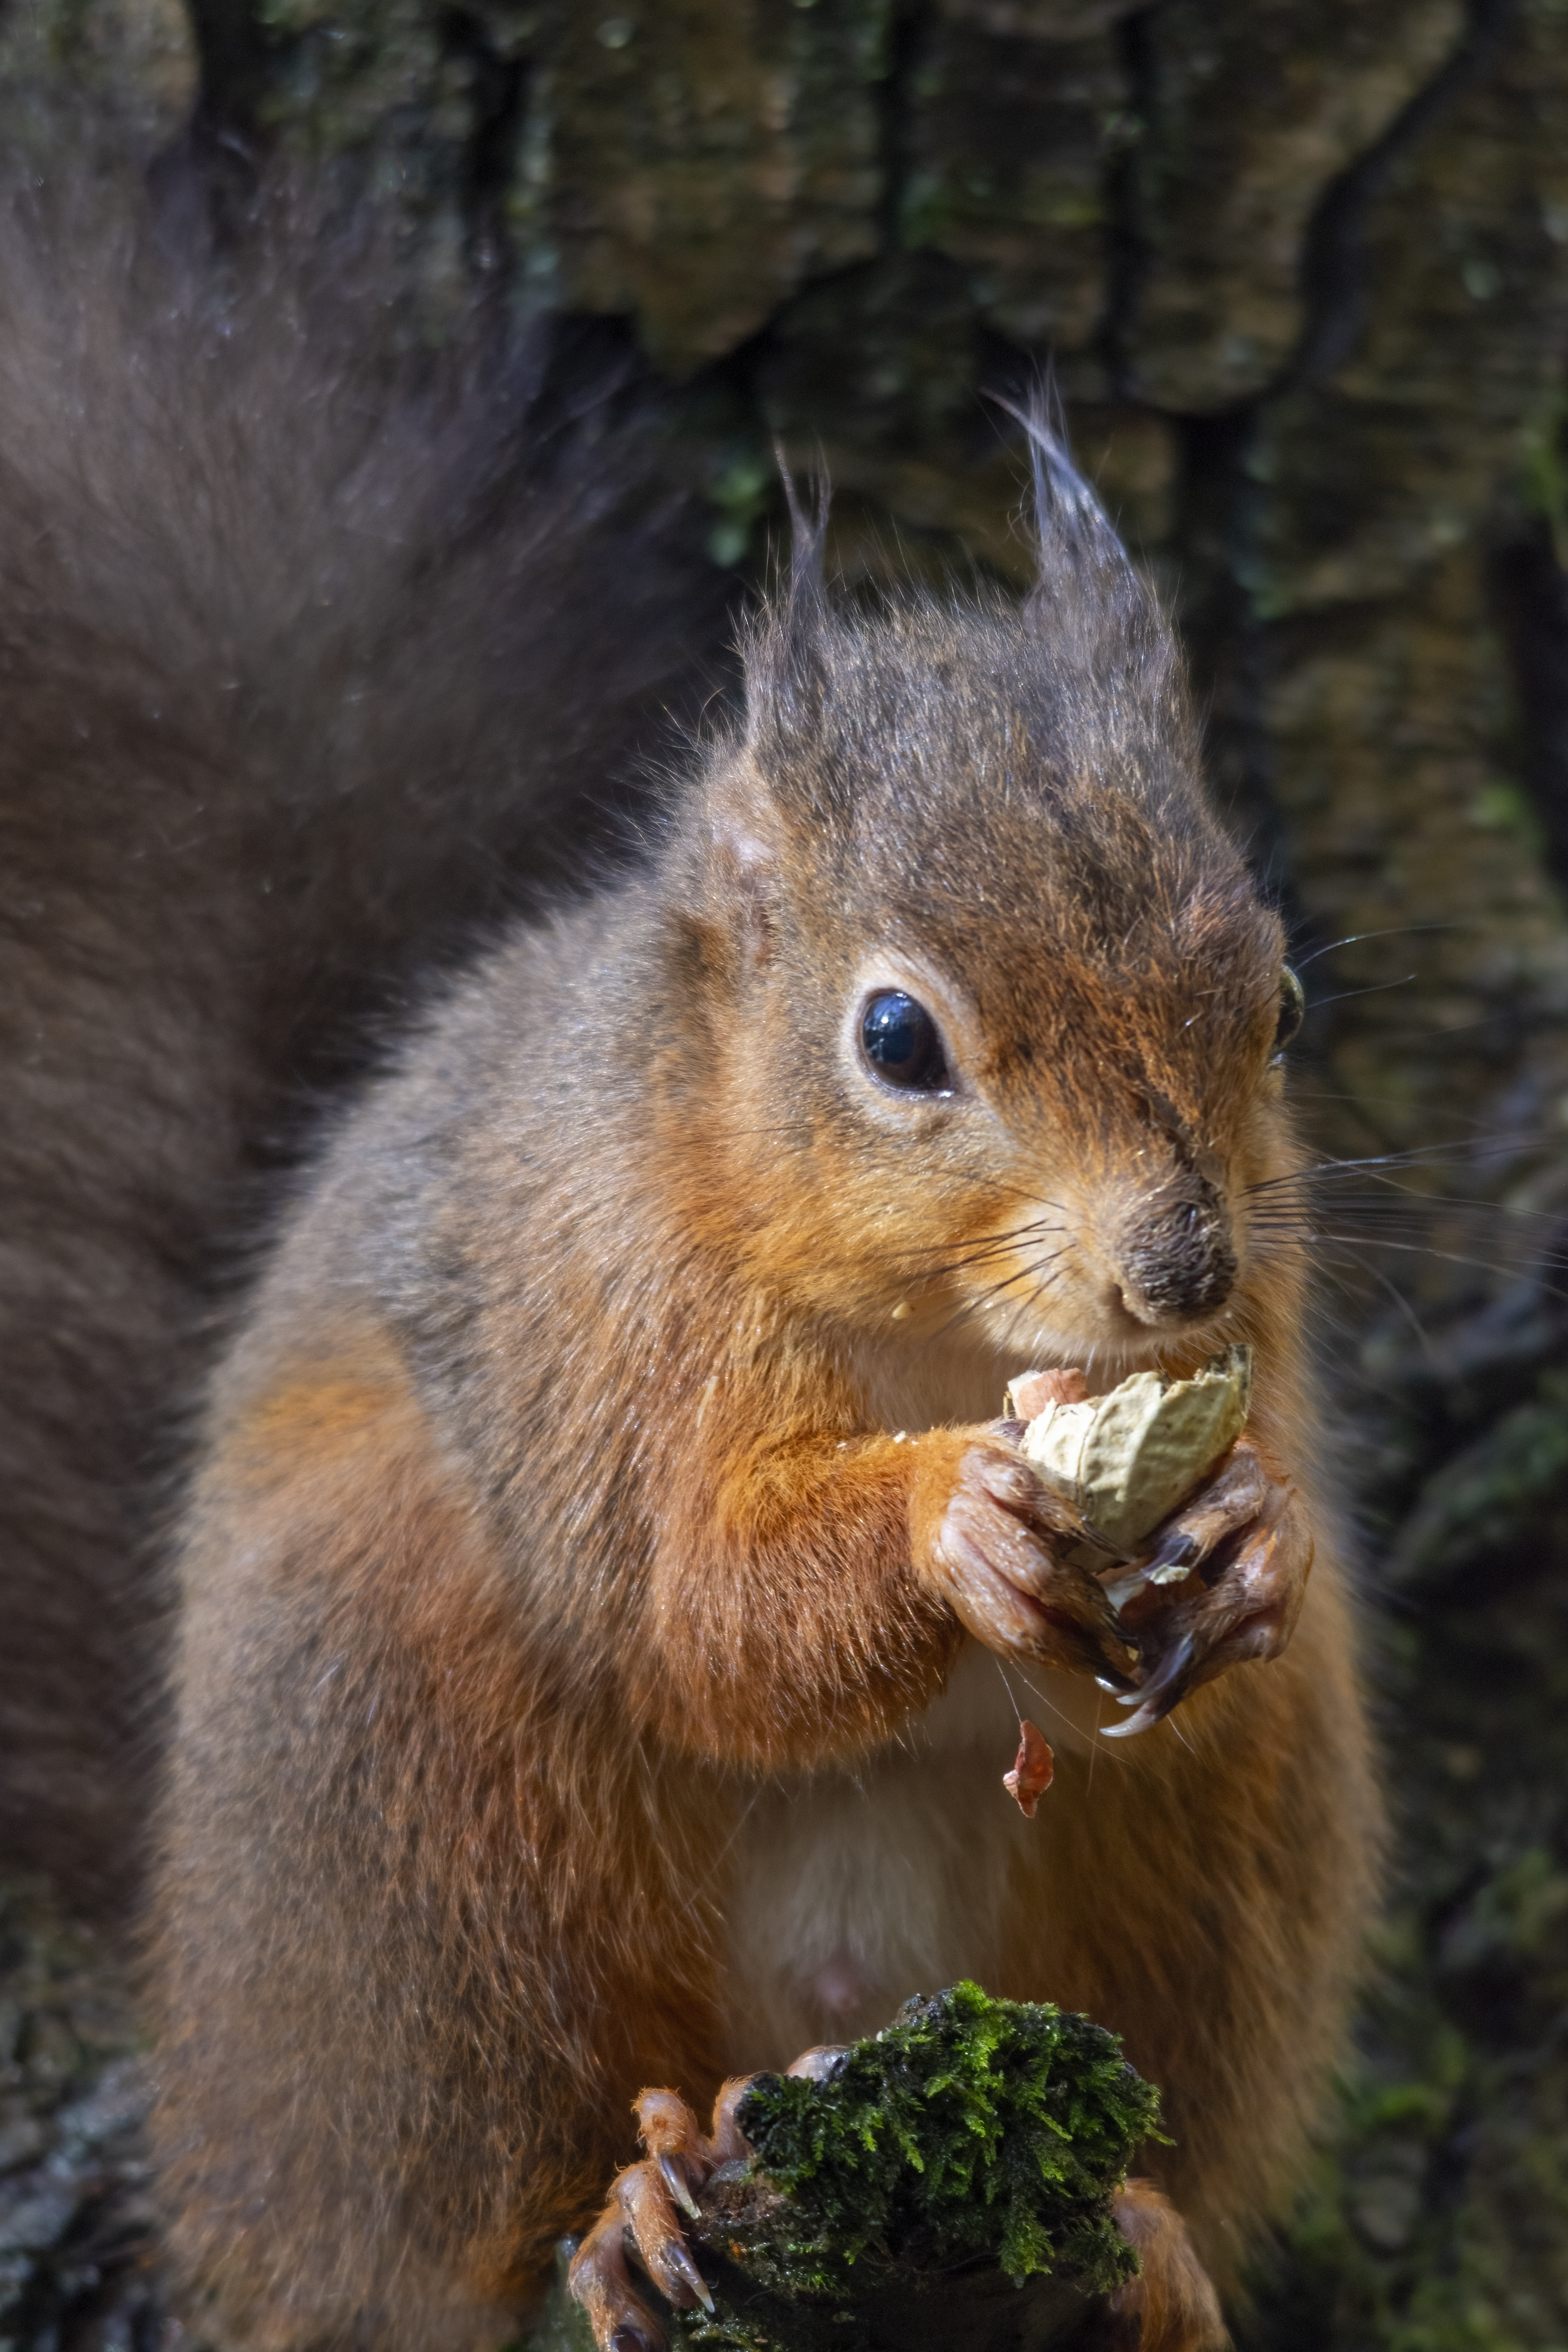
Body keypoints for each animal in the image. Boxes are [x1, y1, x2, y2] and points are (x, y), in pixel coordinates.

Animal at [0, 139, 1381, 2352]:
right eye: (894, 1039)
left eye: (1274, 1001)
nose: (1175, 1274)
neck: (936, 1332)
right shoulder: (597, 1299)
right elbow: (695, 1594)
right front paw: (950, 1518)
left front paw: (1248, 1534)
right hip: (409, 1795)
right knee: (463, 2205)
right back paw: (618, 2212)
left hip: (1210, 1869)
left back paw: (1147, 2231)